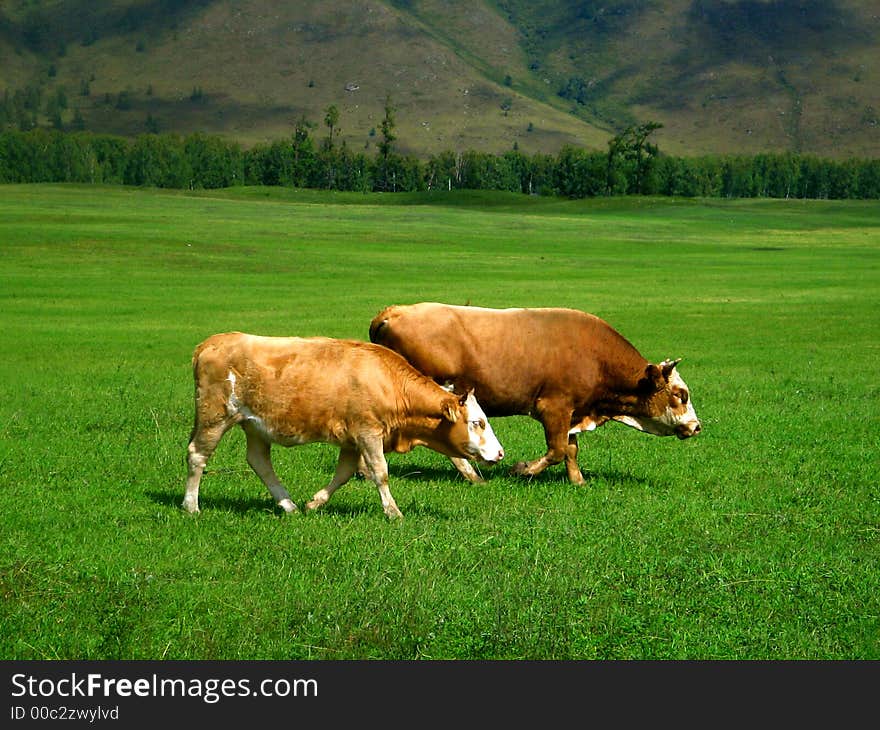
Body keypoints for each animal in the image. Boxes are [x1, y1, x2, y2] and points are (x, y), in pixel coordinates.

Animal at [184, 330, 502, 516]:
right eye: (478, 422)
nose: (500, 453)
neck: (388, 382)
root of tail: (210, 343)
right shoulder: (368, 433)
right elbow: (380, 472)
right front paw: (393, 512)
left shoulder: (351, 440)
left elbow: (344, 474)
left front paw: (315, 503)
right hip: (215, 417)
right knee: (197, 455)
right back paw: (191, 505)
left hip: (255, 426)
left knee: (259, 461)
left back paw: (288, 505)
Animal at [370, 302, 700, 484]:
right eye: (681, 394)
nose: (696, 426)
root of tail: (393, 312)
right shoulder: (554, 408)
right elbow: (556, 450)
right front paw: (523, 470)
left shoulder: (573, 411)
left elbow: (570, 449)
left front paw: (578, 481)